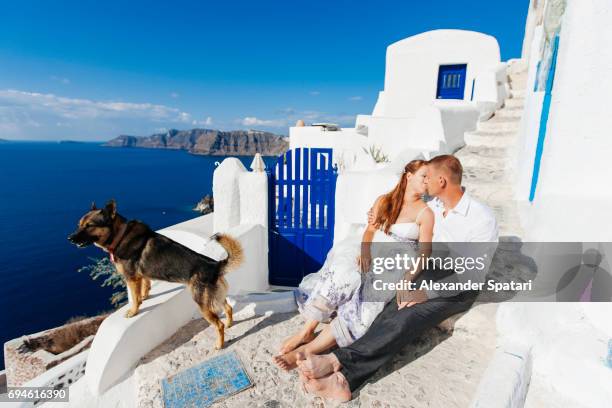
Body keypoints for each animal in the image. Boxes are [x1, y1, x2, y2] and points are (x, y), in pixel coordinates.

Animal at [69, 199, 244, 350]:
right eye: (79, 225)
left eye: (89, 225)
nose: (70, 238)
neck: (120, 235)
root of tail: (215, 265)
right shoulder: (142, 276)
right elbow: (144, 288)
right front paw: (144, 297)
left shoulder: (131, 278)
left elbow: (134, 298)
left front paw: (134, 311)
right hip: (216, 297)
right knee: (228, 308)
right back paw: (230, 323)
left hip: (203, 304)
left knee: (219, 324)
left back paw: (219, 344)